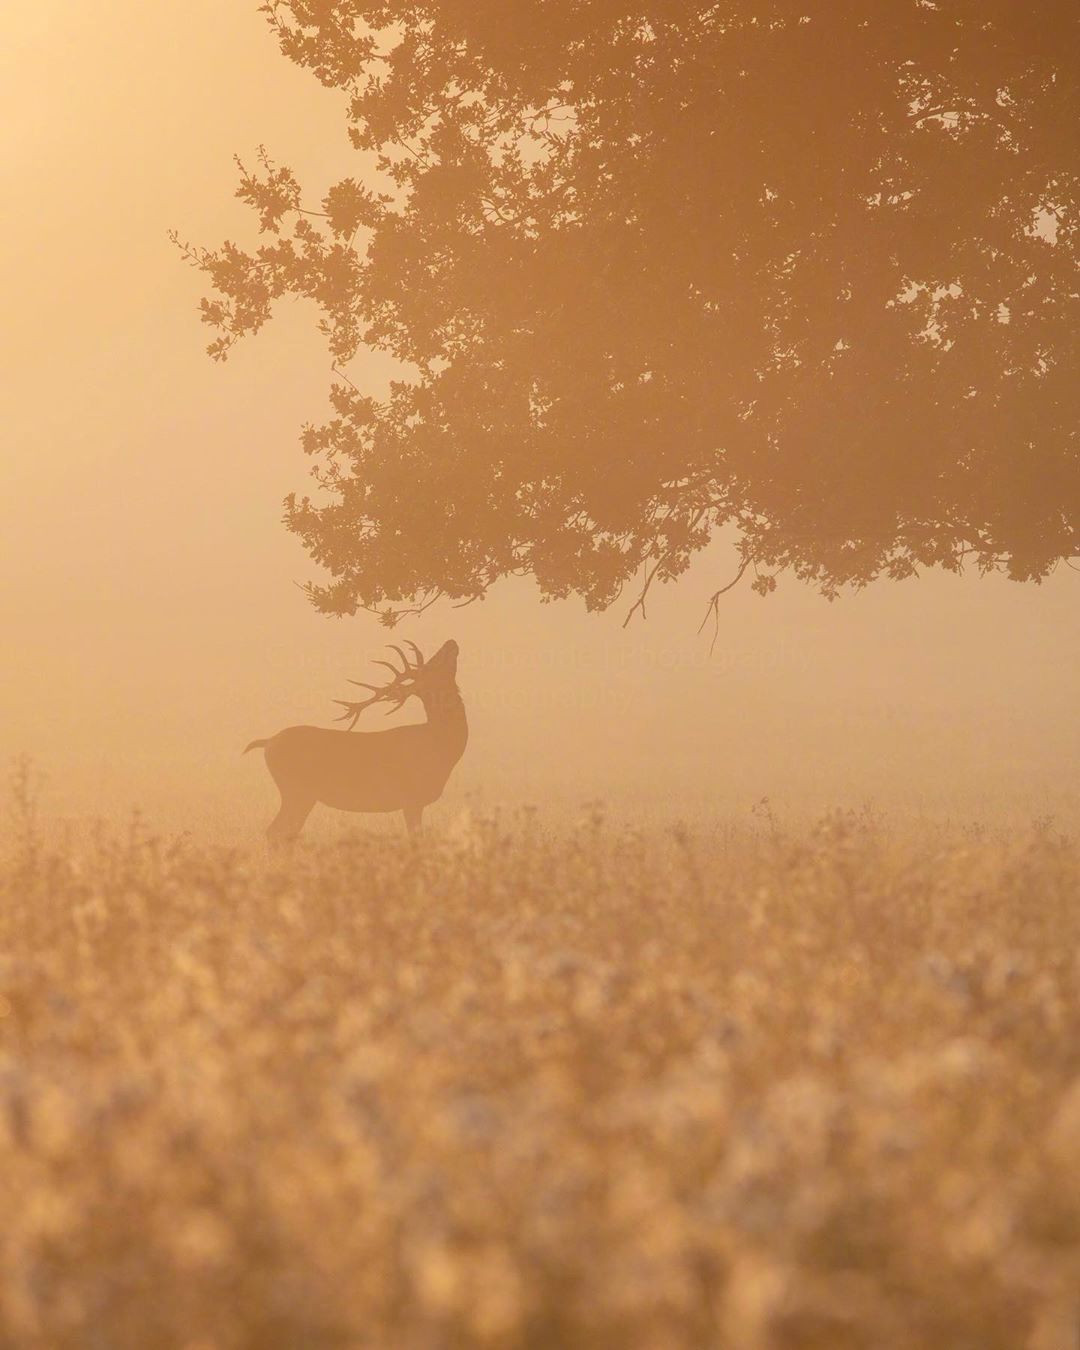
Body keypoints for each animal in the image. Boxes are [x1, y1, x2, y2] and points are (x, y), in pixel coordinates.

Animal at [244, 634, 467, 842]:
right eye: (432, 665)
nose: (450, 642)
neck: (441, 748)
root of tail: (268, 742)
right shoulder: (411, 798)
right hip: (296, 791)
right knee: (275, 832)